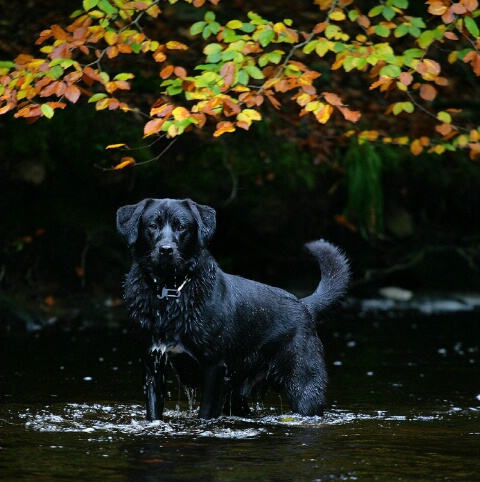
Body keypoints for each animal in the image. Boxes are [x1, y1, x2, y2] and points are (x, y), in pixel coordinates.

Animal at [116, 198, 348, 420]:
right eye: (152, 225)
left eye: (181, 227)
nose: (166, 250)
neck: (171, 291)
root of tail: (304, 305)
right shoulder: (152, 364)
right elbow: (153, 411)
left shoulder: (214, 368)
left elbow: (205, 414)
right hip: (236, 394)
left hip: (304, 388)